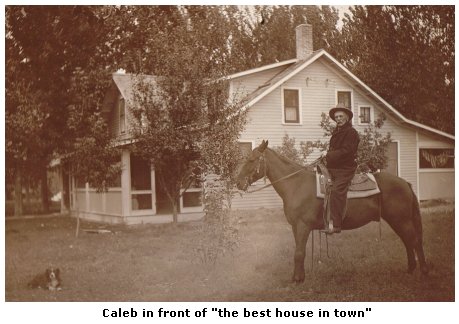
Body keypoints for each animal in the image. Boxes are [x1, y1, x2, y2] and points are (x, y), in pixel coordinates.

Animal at [235, 140, 430, 282]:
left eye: (251, 160)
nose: (238, 182)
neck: (297, 185)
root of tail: (405, 183)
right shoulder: (296, 227)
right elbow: (298, 252)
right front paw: (299, 276)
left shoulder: (303, 226)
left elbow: (299, 253)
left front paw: (297, 279)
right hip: (397, 220)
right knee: (408, 241)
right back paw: (410, 270)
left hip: (401, 220)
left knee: (414, 241)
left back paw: (423, 272)